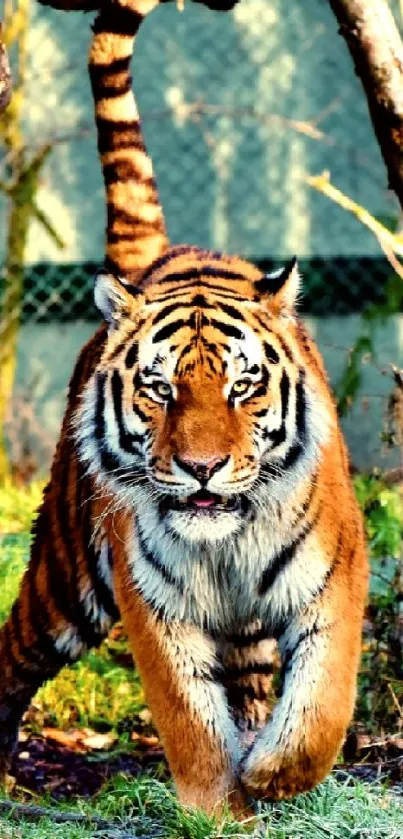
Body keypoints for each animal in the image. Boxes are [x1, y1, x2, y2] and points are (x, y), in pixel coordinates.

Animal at [0, 0, 368, 820]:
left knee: (257, 685)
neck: (224, 544)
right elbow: (189, 721)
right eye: (160, 389)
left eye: (242, 386)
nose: (201, 467)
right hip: (66, 576)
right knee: (11, 654)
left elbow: (320, 706)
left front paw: (272, 775)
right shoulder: (154, 604)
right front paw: (216, 808)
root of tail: (160, 257)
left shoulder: (334, 577)